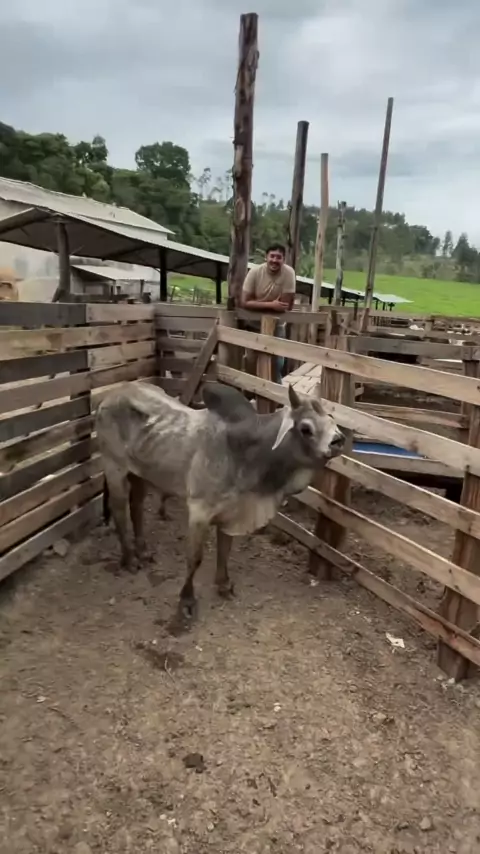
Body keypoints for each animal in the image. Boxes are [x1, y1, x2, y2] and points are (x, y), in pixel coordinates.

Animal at [96, 380, 345, 625]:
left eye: (331, 418)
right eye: (306, 428)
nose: (339, 440)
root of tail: (111, 394)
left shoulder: (231, 512)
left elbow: (225, 549)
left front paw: (223, 584)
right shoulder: (199, 511)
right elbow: (194, 559)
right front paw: (186, 602)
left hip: (140, 474)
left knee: (136, 507)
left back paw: (144, 552)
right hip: (114, 467)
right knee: (119, 510)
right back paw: (129, 559)